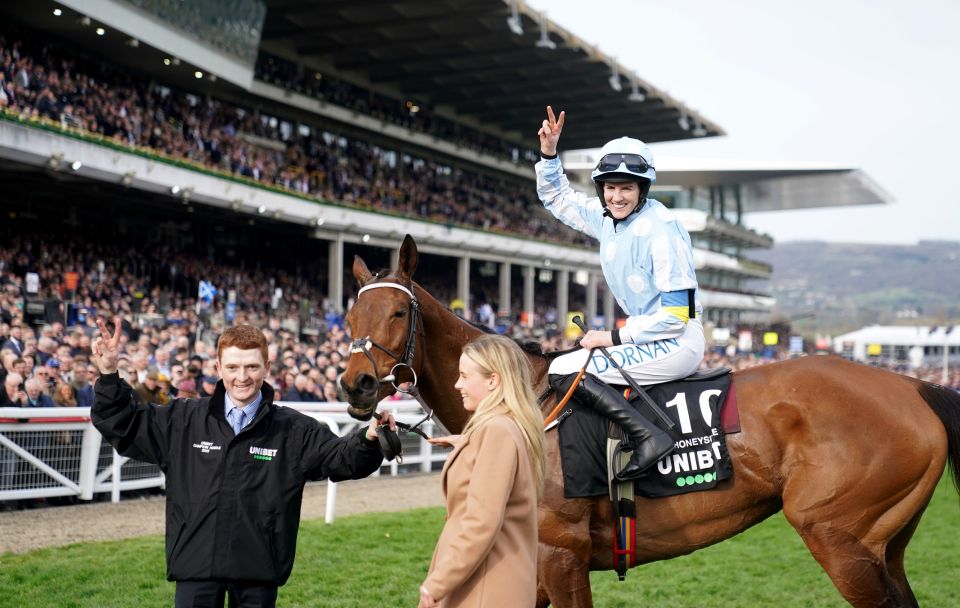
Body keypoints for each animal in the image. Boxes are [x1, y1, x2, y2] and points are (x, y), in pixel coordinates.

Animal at [340, 236, 960, 608]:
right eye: (351, 314)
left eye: (397, 312)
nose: (355, 384)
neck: (523, 402)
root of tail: (913, 387)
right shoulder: (534, 559)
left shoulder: (560, 553)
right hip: (883, 544)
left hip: (838, 536)